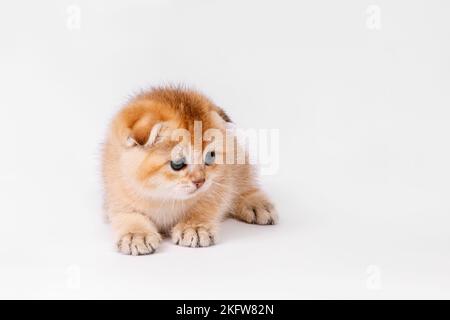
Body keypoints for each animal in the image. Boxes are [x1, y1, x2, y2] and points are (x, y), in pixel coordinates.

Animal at [102, 85, 278, 255]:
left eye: (210, 156)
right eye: (177, 163)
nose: (200, 181)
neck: (164, 197)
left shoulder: (219, 184)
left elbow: (205, 206)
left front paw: (195, 227)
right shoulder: (117, 193)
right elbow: (128, 215)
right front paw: (136, 235)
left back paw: (257, 205)